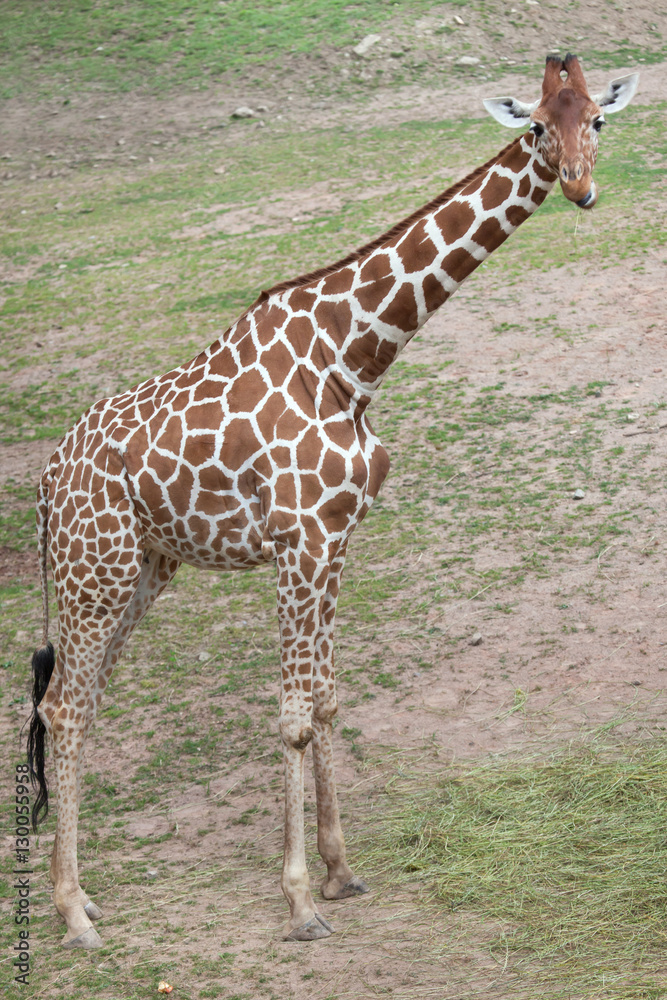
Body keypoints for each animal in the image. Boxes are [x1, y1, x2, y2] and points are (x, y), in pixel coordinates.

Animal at [27, 55, 637, 949]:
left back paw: (85, 898)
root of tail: (44, 485)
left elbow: (326, 698)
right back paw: (73, 912)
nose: (579, 188)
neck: (352, 361)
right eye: (533, 125)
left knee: (78, 699)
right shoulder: (298, 540)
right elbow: (292, 715)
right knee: (65, 707)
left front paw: (341, 872)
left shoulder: (338, 537)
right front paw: (298, 902)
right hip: (94, 571)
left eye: (595, 118)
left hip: (141, 569)